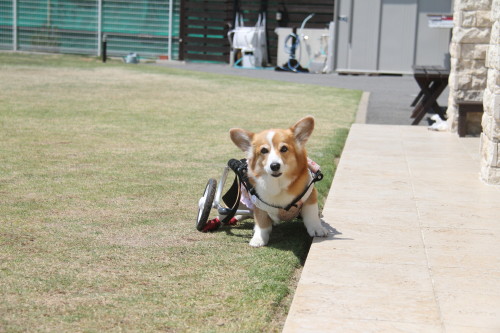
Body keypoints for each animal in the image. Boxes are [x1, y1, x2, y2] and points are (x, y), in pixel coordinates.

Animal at [229, 115, 328, 245]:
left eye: (284, 148)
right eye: (264, 151)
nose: (275, 166)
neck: (278, 185)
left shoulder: (310, 195)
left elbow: (311, 216)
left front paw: (317, 229)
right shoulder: (258, 205)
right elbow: (262, 224)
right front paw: (258, 239)